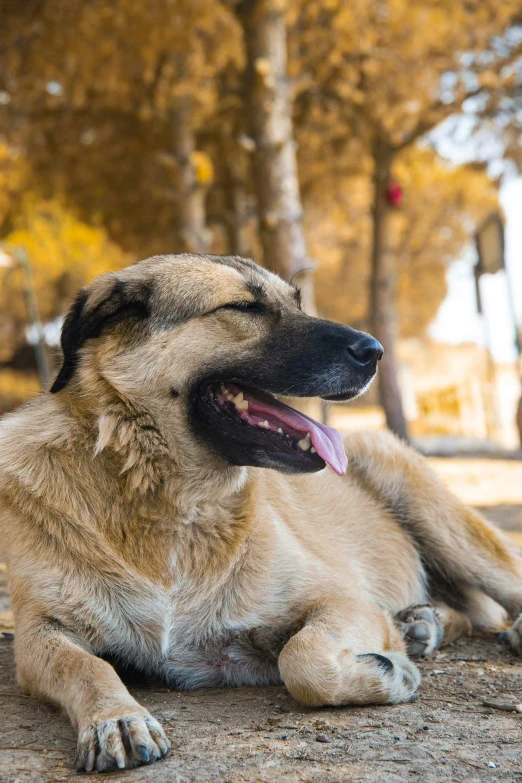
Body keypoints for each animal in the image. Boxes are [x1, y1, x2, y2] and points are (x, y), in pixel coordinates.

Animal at [3, 254, 520, 776]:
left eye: (296, 302)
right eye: (243, 307)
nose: (375, 351)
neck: (173, 503)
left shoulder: (342, 599)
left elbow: (303, 659)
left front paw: (388, 673)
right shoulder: (37, 634)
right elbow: (86, 665)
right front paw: (117, 717)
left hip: (439, 520)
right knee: (466, 612)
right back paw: (422, 624)